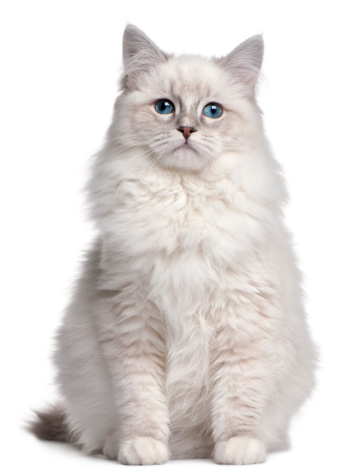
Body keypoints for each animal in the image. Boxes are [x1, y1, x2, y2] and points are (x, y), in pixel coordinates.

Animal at [31, 25, 318, 464]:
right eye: (165, 107)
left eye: (212, 111)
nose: (186, 130)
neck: (184, 199)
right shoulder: (133, 322)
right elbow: (142, 399)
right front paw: (143, 447)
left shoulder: (241, 323)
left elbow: (237, 399)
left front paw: (237, 448)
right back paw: (121, 446)